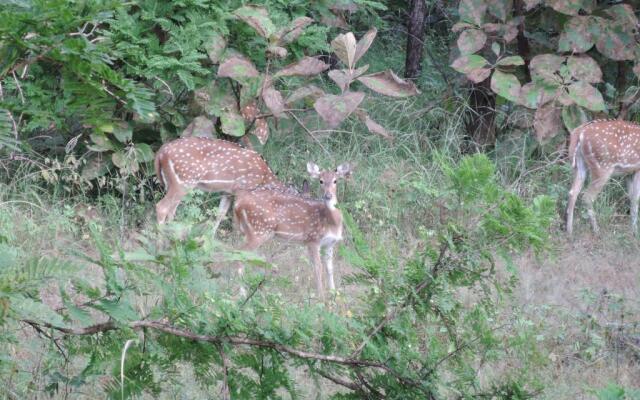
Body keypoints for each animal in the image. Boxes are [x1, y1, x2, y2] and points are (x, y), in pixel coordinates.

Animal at [154, 137, 290, 233]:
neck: (264, 178)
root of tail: (161, 153)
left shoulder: (228, 191)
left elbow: (221, 213)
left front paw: (210, 237)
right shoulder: (243, 189)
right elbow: (236, 217)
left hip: (172, 183)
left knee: (172, 209)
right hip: (183, 181)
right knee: (162, 207)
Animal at [232, 161, 352, 298]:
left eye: (335, 180)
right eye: (321, 181)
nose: (328, 195)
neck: (332, 222)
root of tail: (238, 204)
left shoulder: (330, 243)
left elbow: (330, 269)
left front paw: (334, 294)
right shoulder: (312, 239)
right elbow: (318, 267)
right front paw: (321, 297)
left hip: (249, 231)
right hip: (259, 230)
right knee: (238, 254)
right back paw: (242, 294)